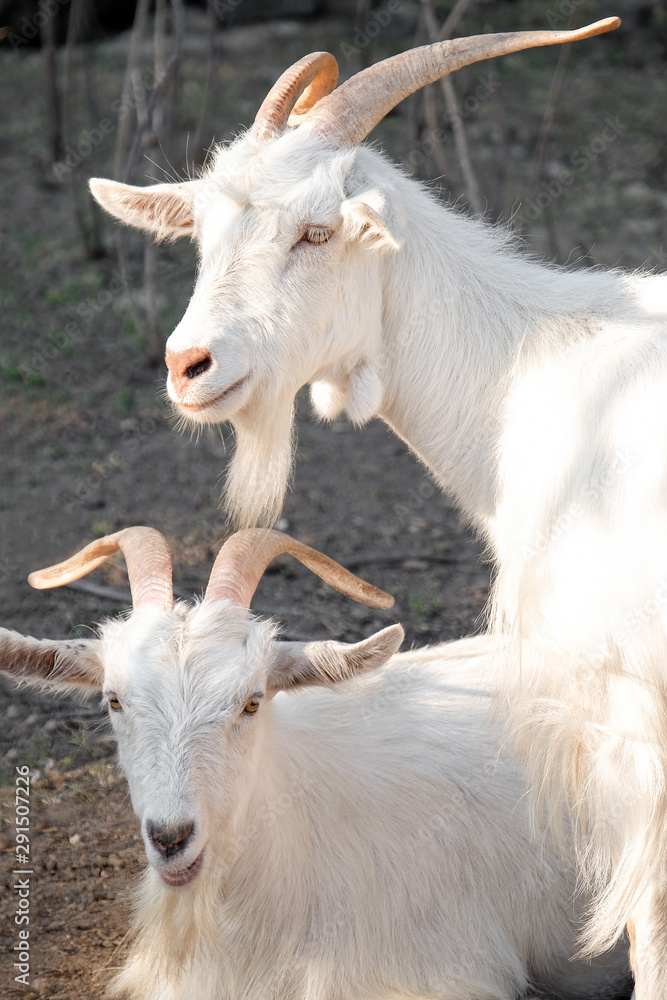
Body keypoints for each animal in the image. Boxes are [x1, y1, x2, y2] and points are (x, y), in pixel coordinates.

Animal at [87, 15, 667, 1000]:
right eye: (202, 235)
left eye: (317, 232)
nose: (189, 365)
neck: (532, 375)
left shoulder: (629, 701)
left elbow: (647, 919)